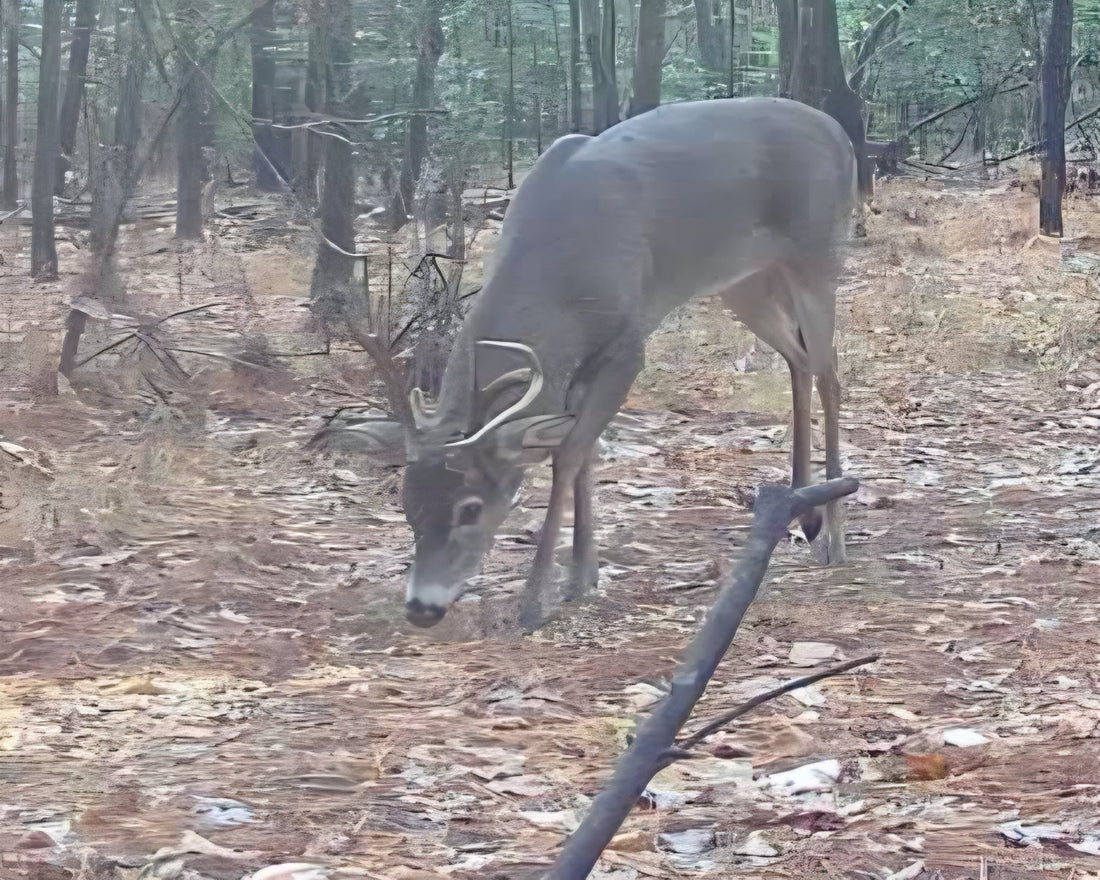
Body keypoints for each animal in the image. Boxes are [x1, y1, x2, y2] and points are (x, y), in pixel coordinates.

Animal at [317, 97, 857, 631]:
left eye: (470, 508)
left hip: (817, 252)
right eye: (407, 504)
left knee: (830, 374)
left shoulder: (627, 345)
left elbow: (569, 456)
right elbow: (584, 454)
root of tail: (839, 134)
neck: (561, 281)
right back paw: (803, 512)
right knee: (799, 360)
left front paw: (536, 600)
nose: (421, 608)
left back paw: (834, 536)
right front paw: (583, 577)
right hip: (744, 281)